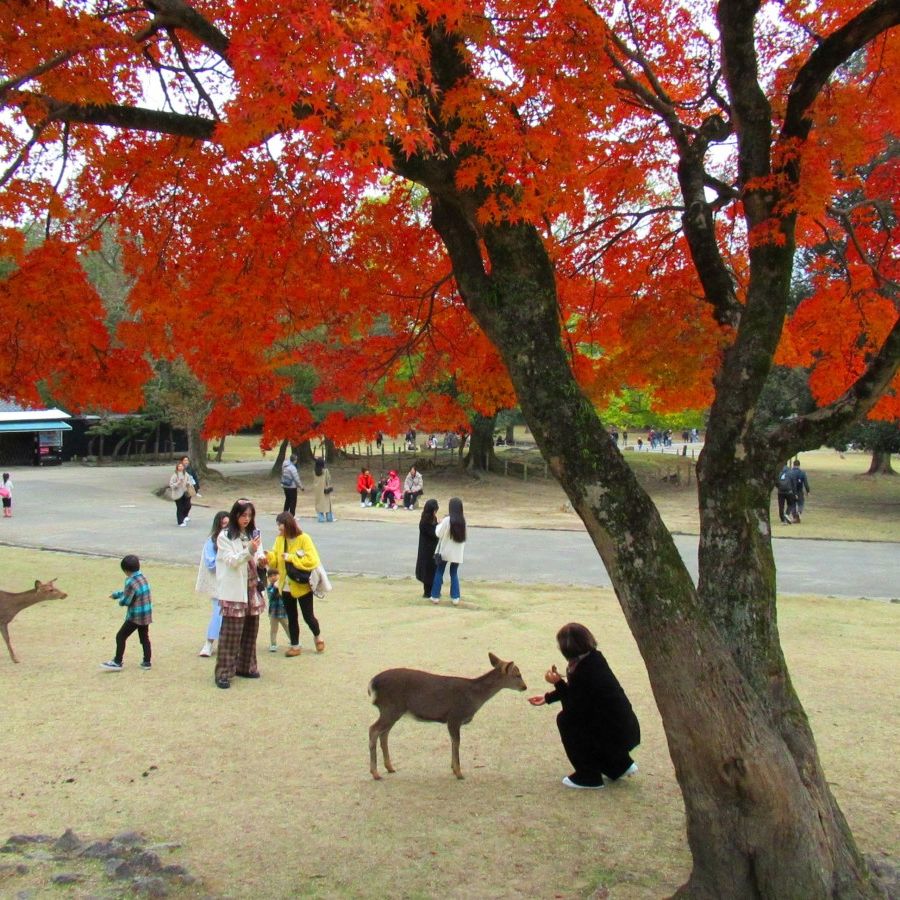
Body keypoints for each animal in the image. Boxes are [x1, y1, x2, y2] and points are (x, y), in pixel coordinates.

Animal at [368, 652, 528, 780]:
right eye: (517, 675)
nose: (525, 687)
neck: (474, 696)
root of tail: (372, 683)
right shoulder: (454, 716)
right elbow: (456, 742)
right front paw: (459, 773)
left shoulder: (452, 720)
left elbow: (453, 742)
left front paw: (453, 768)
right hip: (391, 708)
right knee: (373, 730)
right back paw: (375, 773)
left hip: (392, 711)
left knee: (384, 733)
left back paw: (389, 767)